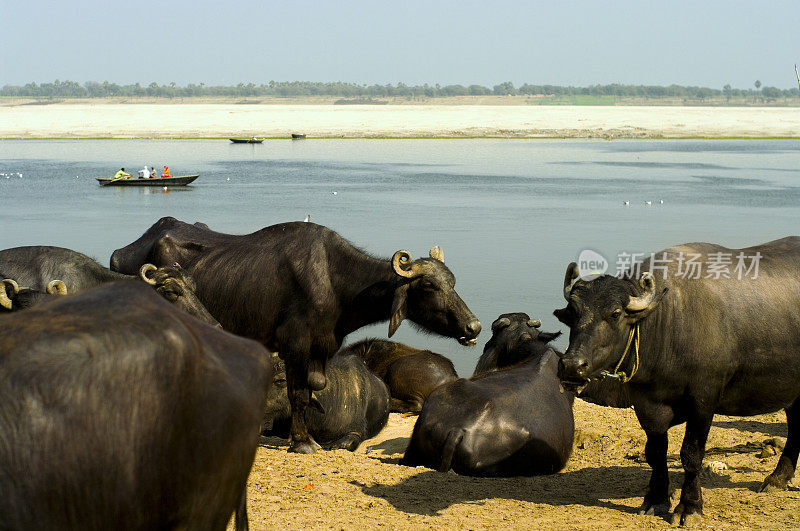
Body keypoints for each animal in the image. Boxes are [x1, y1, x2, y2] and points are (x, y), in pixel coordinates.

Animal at [108, 216, 478, 454]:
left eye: (452, 281)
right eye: (429, 285)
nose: (473, 326)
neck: (334, 281)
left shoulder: (322, 347)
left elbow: (314, 386)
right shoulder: (294, 345)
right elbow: (297, 392)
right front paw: (302, 442)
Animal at [560, 239, 800, 524]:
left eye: (615, 313)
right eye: (572, 313)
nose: (572, 365)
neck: (668, 322)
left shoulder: (704, 400)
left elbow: (691, 455)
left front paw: (690, 506)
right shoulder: (646, 403)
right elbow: (655, 453)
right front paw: (655, 499)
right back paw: (778, 479)